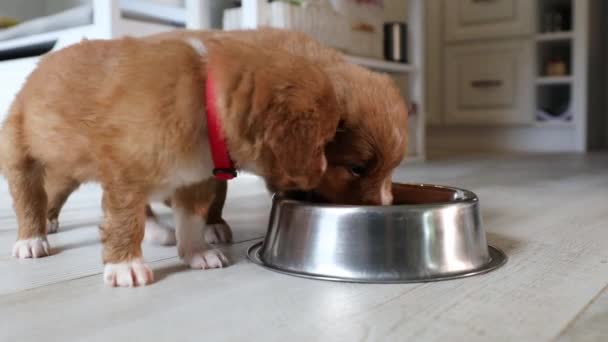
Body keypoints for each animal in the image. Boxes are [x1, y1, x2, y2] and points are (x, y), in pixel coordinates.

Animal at [0, 36, 340, 286]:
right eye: (325, 143)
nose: (321, 178)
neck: (206, 101)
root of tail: (40, 66)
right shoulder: (125, 176)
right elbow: (124, 221)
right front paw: (125, 265)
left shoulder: (193, 179)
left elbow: (191, 220)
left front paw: (196, 253)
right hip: (26, 150)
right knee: (34, 196)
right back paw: (34, 236)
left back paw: (157, 231)